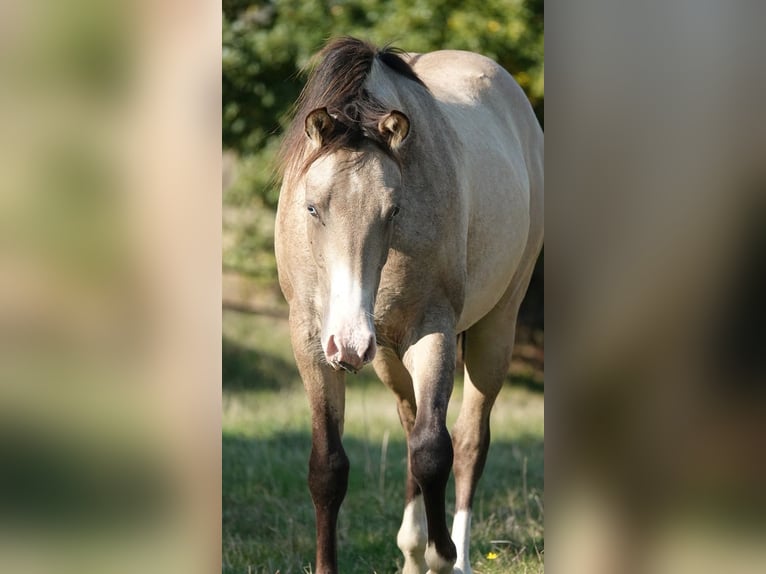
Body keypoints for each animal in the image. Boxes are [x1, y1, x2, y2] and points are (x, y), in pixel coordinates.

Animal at [274, 37, 543, 574]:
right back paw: (411, 553)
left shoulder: (432, 332)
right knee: (409, 423)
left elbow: (433, 450)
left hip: (494, 331)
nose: (350, 343)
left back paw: (456, 558)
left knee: (468, 441)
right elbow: (327, 465)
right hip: (388, 357)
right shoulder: (311, 342)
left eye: (393, 210)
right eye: (311, 207)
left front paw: (443, 555)